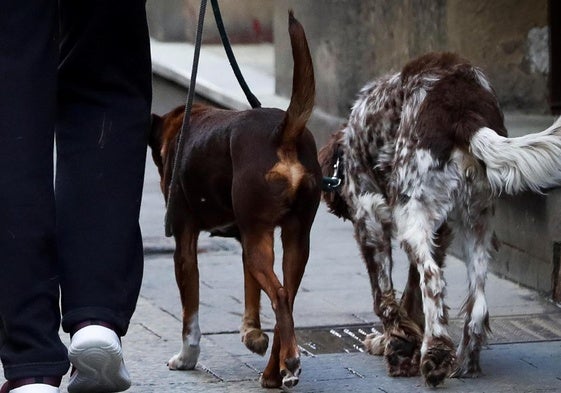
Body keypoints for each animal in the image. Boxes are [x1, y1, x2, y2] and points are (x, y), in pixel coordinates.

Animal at [149, 10, 320, 388]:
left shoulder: (185, 242)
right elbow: (251, 295)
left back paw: (287, 362)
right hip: (294, 238)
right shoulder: (245, 240)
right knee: (286, 299)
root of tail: (283, 132)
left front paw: (186, 358)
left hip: (261, 236)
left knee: (281, 296)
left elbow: (190, 315)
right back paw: (276, 372)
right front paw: (251, 334)